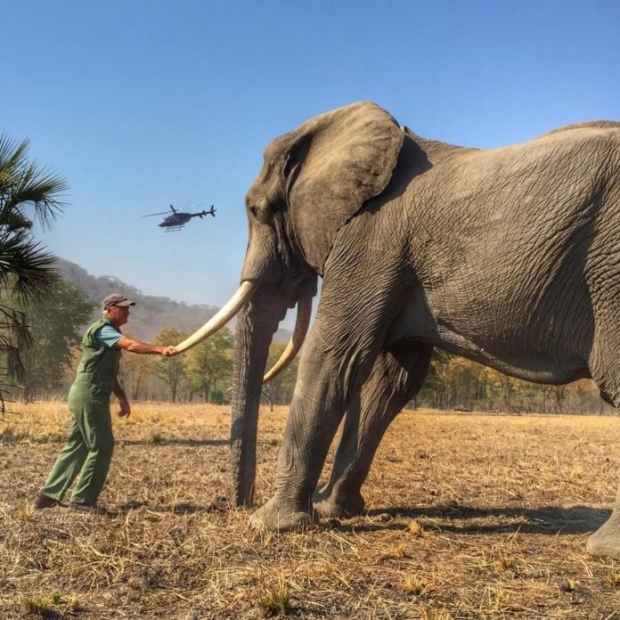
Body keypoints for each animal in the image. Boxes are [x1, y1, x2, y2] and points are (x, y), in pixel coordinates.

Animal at [174, 100, 620, 556]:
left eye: (256, 211)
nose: (236, 503)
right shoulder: (393, 262)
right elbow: (391, 381)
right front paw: (333, 509)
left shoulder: (369, 241)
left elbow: (334, 355)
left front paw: (270, 523)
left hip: (610, 269)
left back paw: (603, 548)